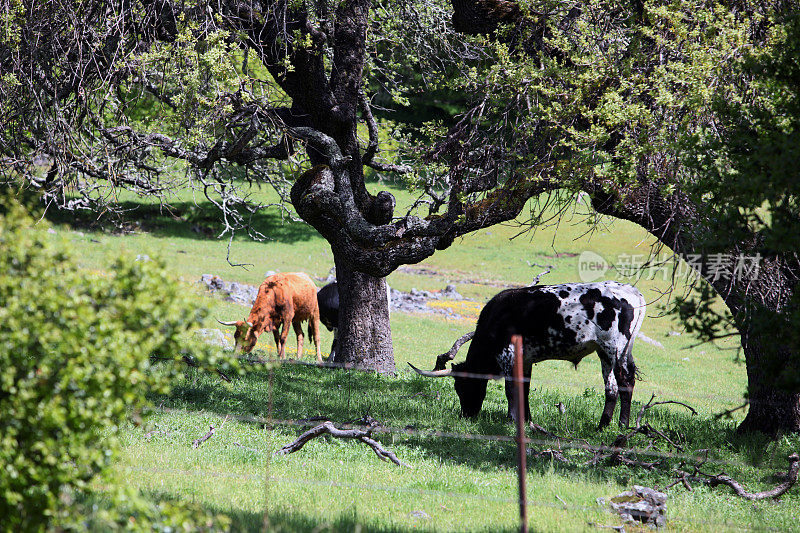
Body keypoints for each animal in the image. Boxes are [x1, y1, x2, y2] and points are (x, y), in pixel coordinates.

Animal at [410, 282, 648, 428]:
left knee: (622, 383)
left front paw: (511, 419)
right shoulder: (525, 360)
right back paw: (606, 426)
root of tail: (632, 291)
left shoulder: (508, 355)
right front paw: (526, 421)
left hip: (613, 348)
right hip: (611, 352)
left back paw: (618, 425)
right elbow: (523, 388)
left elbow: (511, 390)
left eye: (462, 387)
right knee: (616, 387)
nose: (466, 415)